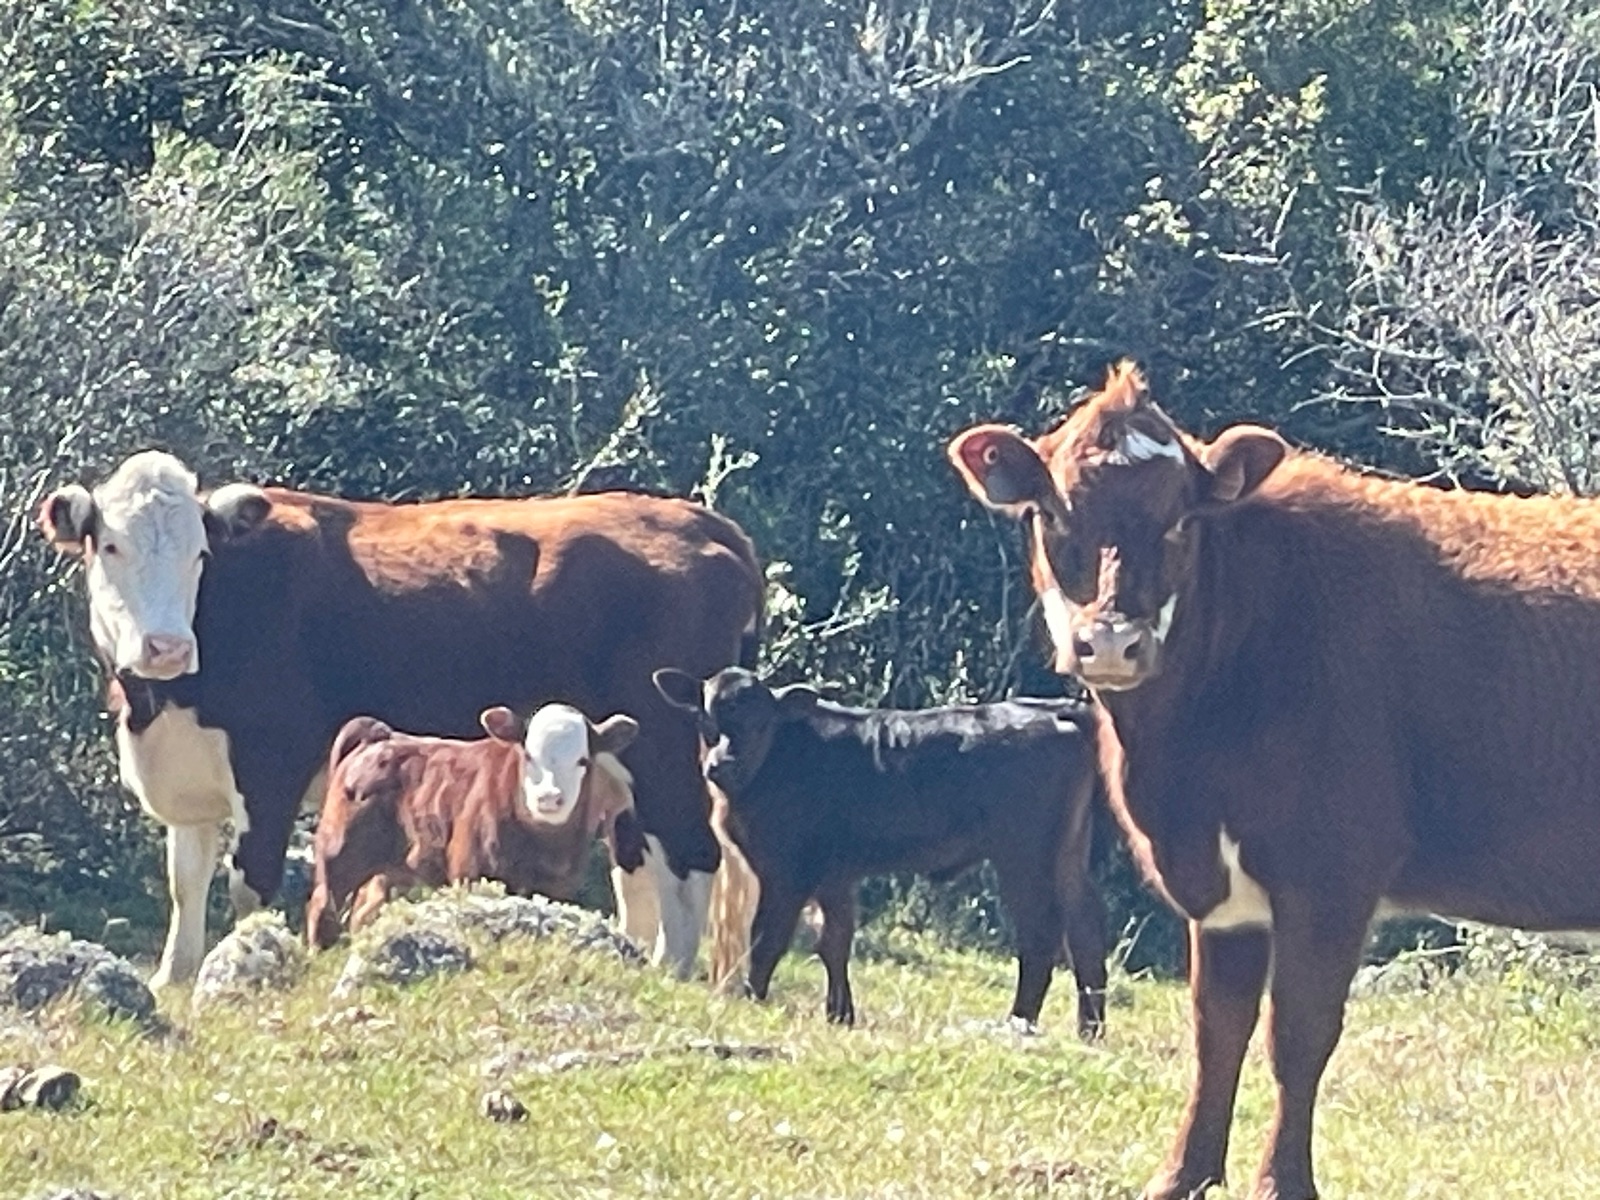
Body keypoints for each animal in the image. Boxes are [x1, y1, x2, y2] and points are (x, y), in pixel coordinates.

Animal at [306, 703, 644, 948]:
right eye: (528, 755)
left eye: (583, 761)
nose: (549, 797)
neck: (542, 844)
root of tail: (381, 736)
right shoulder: (471, 872)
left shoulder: (559, 888)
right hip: (339, 853)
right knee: (323, 906)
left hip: (387, 871)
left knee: (364, 910)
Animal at [653, 666, 1110, 1040]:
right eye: (705, 718)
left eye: (761, 722)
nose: (721, 765)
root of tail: (1059, 709)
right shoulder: (835, 875)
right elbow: (835, 942)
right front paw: (840, 1016)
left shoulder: (788, 870)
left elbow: (768, 937)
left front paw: (752, 998)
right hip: (1067, 853)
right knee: (1085, 928)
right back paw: (1089, 1031)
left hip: (1023, 854)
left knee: (1041, 933)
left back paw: (1019, 1022)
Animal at [949, 360, 1600, 1199]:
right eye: (1054, 514)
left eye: (1179, 521)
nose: (1113, 643)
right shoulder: (1222, 893)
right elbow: (1217, 1029)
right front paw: (1183, 1174)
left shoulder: (1330, 872)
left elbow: (1298, 1033)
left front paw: (1282, 1182)